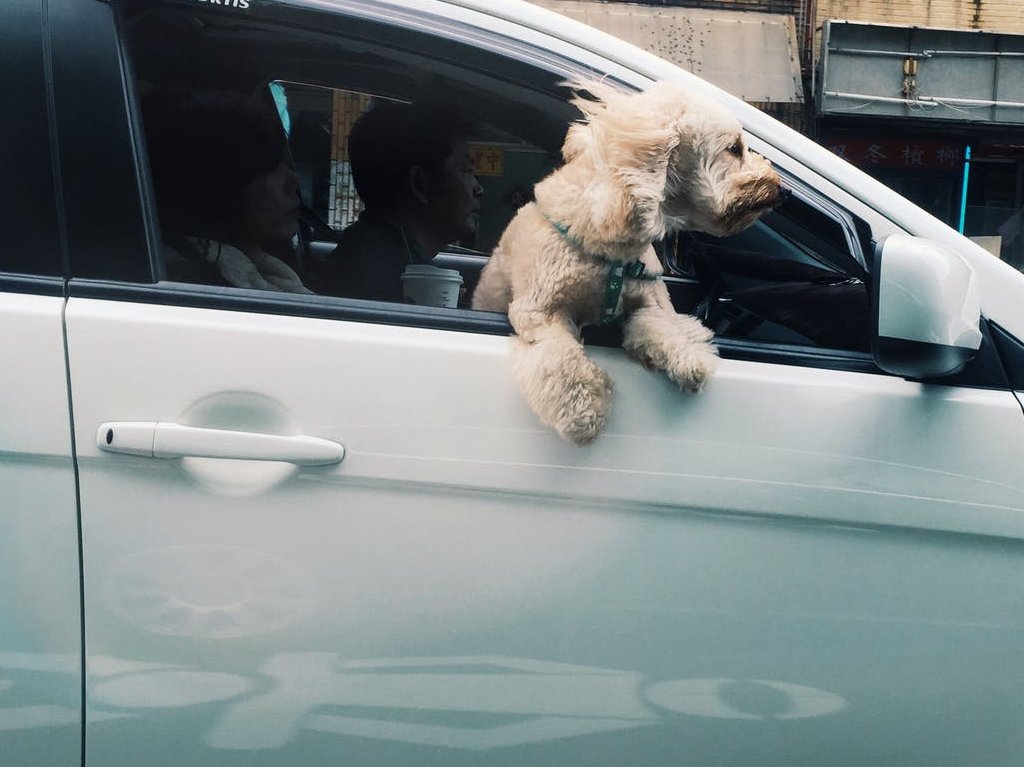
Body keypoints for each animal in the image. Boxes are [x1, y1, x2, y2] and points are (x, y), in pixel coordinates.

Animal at [473, 79, 782, 442]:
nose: (781, 188)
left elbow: (664, 326)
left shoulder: (648, 301)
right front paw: (585, 413)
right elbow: (565, 362)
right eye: (734, 148)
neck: (612, 253)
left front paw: (689, 357)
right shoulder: (540, 314)